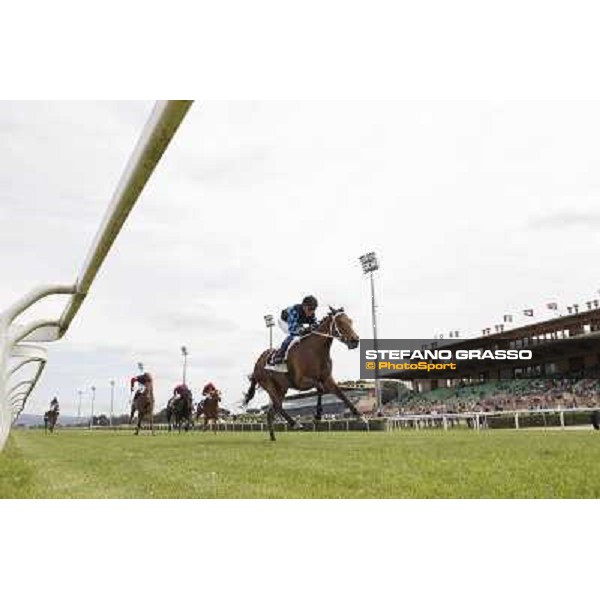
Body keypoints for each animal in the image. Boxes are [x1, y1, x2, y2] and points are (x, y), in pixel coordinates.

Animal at [244, 310, 360, 440]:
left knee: (271, 412)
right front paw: (317, 416)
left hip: (281, 389)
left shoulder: (327, 379)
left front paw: (359, 415)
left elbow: (340, 394)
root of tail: (257, 363)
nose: (355, 340)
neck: (315, 351)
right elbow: (320, 388)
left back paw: (273, 437)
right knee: (278, 406)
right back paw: (295, 423)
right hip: (269, 385)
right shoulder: (300, 381)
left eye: (350, 321)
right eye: (340, 322)